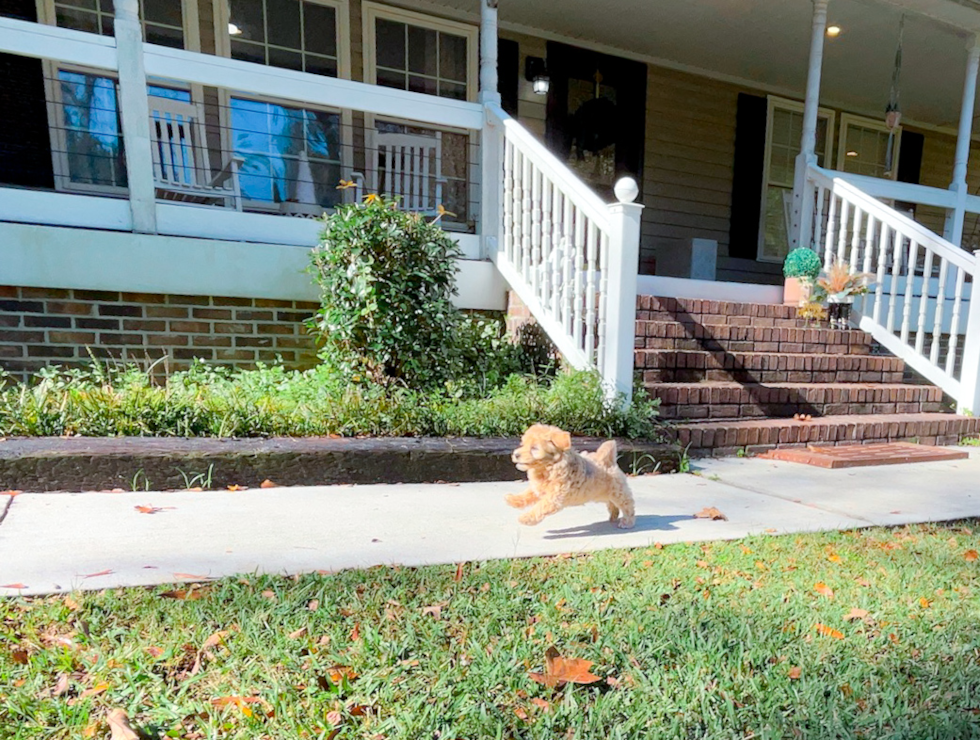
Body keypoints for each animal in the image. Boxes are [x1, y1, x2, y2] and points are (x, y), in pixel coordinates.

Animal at [506, 424, 636, 528]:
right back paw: (614, 515)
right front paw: (512, 499)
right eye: (522, 444)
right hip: (602, 494)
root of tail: (608, 461)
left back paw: (627, 522)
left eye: (534, 448)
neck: (549, 468)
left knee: (627, 505)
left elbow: (540, 507)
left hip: (618, 492)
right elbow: (527, 494)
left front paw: (525, 518)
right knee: (612, 503)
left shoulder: (554, 498)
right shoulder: (538, 488)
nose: (516, 454)